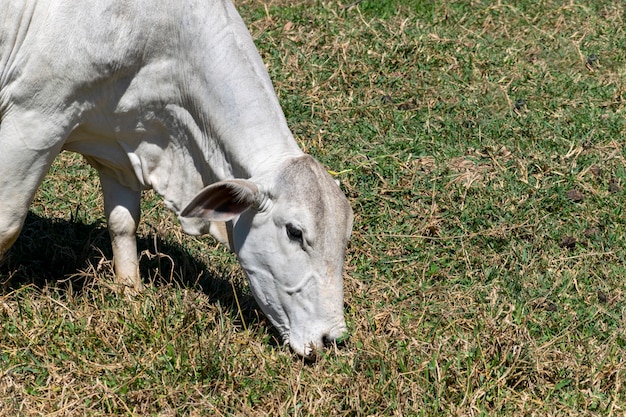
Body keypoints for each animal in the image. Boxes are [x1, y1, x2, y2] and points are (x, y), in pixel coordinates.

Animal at [0, 0, 352, 358]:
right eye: (295, 232)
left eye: (346, 239)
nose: (332, 339)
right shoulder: (36, 118)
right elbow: (7, 224)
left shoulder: (120, 139)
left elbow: (123, 223)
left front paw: (131, 294)